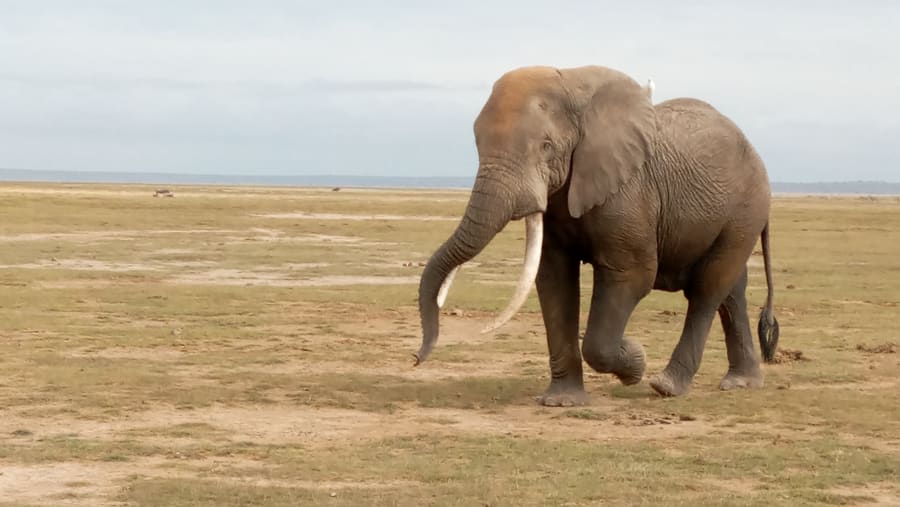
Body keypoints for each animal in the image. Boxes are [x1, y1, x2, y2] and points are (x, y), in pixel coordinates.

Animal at [413, 65, 780, 405]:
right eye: (477, 143)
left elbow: (632, 275)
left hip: (745, 209)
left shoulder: (629, 192)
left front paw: (635, 361)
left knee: (708, 289)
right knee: (731, 291)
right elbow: (554, 280)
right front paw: (561, 401)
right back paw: (741, 382)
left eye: (546, 146)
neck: (574, 88)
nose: (417, 357)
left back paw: (667, 386)